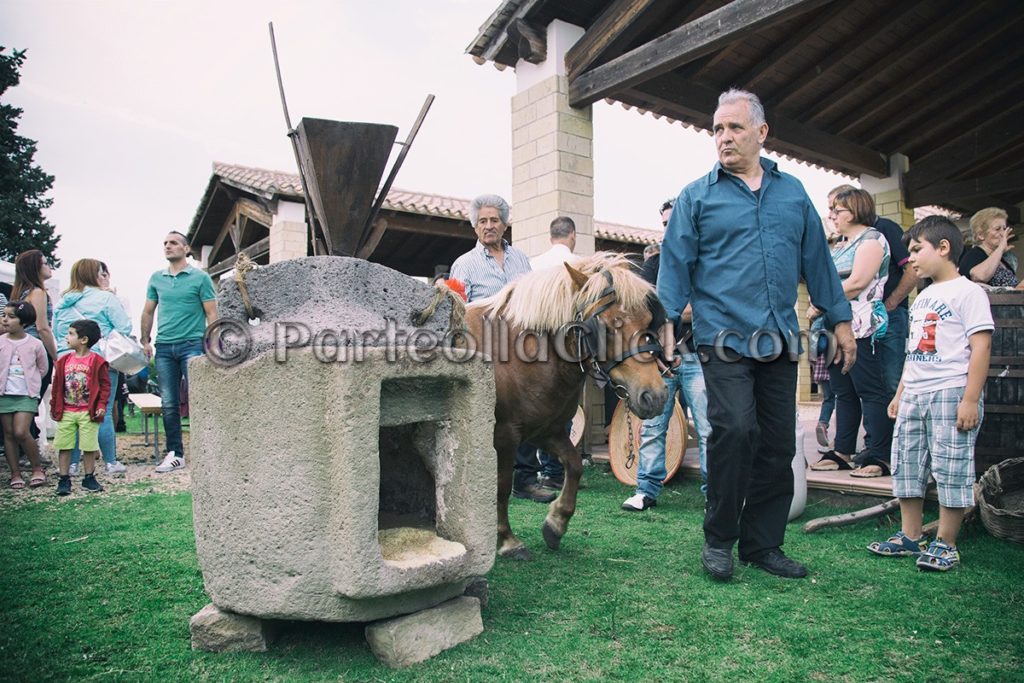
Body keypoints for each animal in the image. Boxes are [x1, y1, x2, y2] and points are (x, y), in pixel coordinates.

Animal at [460, 253, 667, 557]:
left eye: (648, 320)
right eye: (606, 326)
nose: (655, 396)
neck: (514, 353)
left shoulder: (546, 430)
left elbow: (575, 464)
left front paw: (556, 523)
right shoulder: (504, 435)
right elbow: (501, 486)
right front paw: (507, 539)